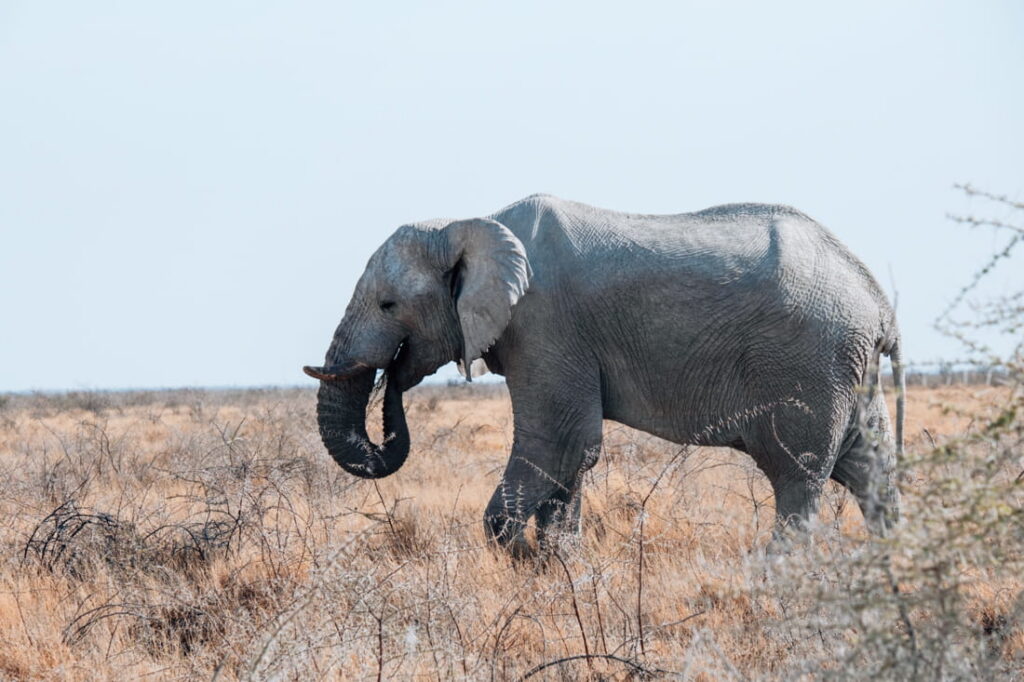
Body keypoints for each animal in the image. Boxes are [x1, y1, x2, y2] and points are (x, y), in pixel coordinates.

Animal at [304, 194, 905, 557]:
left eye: (388, 305)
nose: (393, 378)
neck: (468, 224)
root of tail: (879, 303)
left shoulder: (544, 324)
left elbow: (562, 443)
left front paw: (528, 559)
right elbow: (570, 454)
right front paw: (556, 564)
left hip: (809, 364)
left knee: (797, 475)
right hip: (849, 371)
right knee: (870, 469)